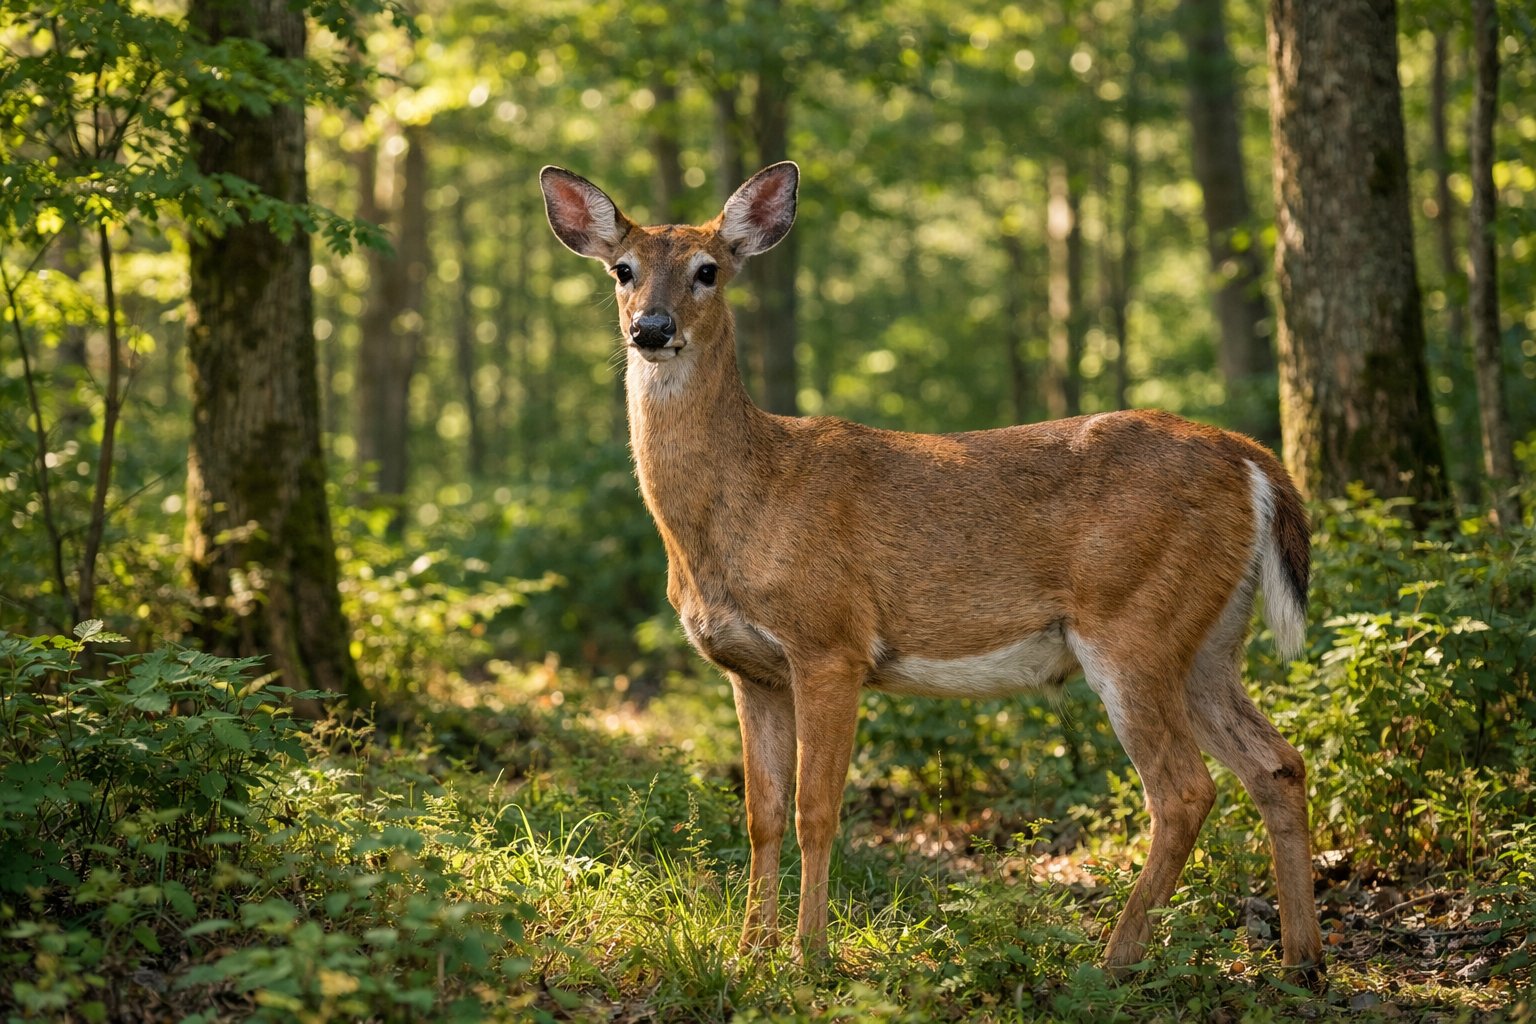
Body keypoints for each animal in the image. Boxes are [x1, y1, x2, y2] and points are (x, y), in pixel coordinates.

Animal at [539, 160, 1325, 983]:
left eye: (708, 270)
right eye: (623, 270)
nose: (651, 329)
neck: (742, 501)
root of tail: (1253, 460)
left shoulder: (830, 641)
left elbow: (816, 811)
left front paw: (808, 957)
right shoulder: (750, 669)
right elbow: (761, 814)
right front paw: (750, 951)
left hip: (1133, 621)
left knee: (1184, 790)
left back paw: (1115, 958)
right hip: (1207, 640)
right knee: (1276, 763)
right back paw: (1301, 959)